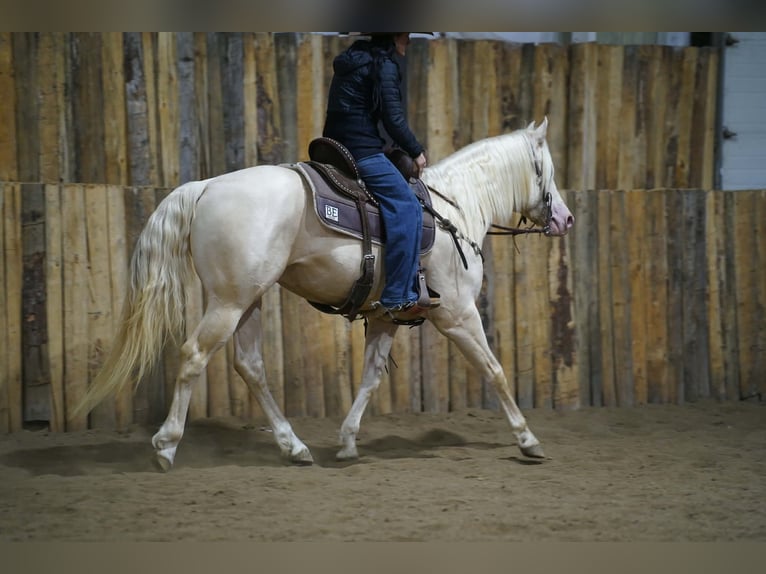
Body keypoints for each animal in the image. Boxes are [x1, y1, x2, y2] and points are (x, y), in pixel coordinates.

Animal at [74, 117, 574, 471]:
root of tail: (206, 186)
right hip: (229, 302)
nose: (565, 219)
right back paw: (165, 446)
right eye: (547, 171)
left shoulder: (386, 318)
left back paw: (293, 446)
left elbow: (370, 378)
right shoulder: (457, 315)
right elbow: (495, 371)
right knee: (195, 355)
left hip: (247, 300)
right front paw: (528, 440)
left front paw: (348, 441)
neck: (455, 208)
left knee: (250, 366)